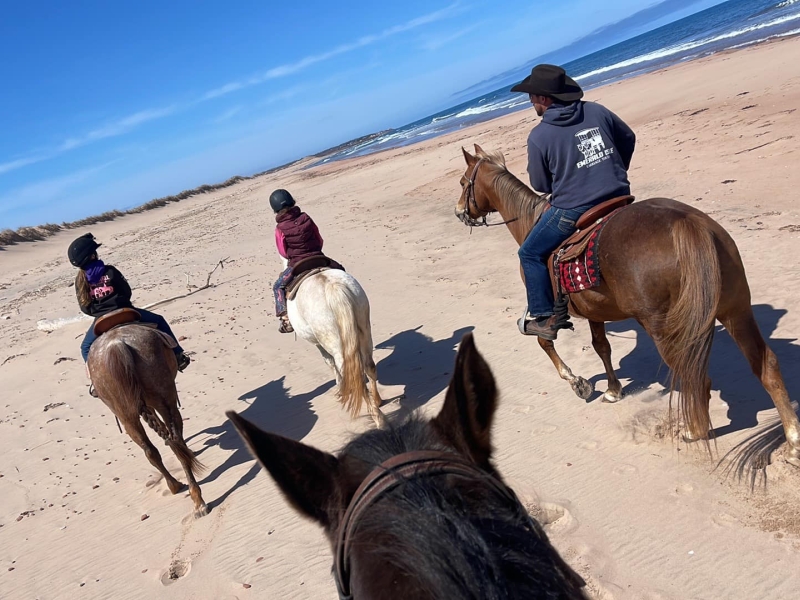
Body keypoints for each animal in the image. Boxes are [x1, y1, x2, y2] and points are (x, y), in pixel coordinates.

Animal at [88, 324, 208, 516]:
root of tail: (117, 345)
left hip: (127, 416)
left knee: (150, 450)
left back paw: (174, 485)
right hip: (166, 399)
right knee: (176, 440)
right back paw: (197, 499)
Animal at [288, 268, 388, 426]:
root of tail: (333, 287)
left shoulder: (319, 344)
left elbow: (328, 362)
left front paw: (340, 389)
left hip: (334, 342)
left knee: (355, 376)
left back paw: (377, 418)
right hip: (365, 331)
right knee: (369, 366)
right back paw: (377, 401)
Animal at [454, 146, 796, 468]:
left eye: (462, 181)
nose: (459, 212)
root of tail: (687, 223)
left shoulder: (545, 309)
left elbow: (544, 341)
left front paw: (577, 382)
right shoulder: (594, 312)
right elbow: (601, 347)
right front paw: (613, 389)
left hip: (662, 326)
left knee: (695, 377)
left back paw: (695, 430)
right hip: (736, 310)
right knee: (766, 366)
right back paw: (793, 442)